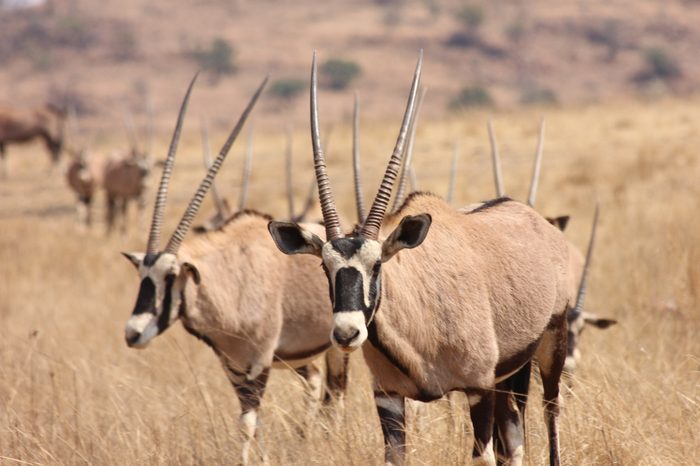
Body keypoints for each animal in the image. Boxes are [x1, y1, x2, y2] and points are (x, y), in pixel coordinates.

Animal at [122, 75, 348, 465]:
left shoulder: (258, 363)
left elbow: (248, 424)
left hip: (338, 348)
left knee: (335, 393)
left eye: (171, 277)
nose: (132, 333)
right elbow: (250, 423)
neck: (229, 282)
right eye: (142, 277)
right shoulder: (233, 366)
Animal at [269, 53, 573, 466]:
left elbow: (483, 456)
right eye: (324, 267)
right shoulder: (388, 398)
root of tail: (535, 220)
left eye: (378, 265)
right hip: (510, 374)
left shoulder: (478, 389)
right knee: (513, 434)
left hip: (551, 345)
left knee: (550, 414)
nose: (346, 333)